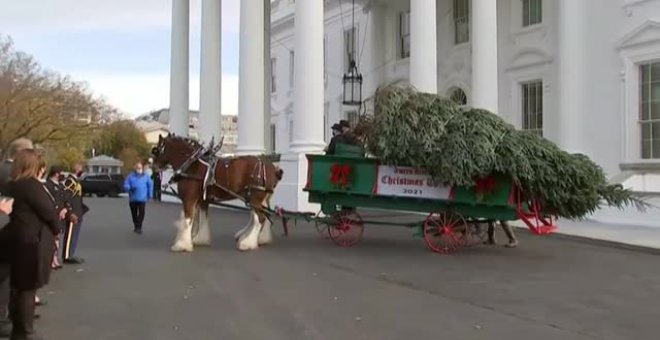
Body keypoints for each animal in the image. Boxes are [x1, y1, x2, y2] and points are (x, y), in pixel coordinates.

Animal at [151, 134, 282, 251]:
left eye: (157, 150)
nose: (153, 166)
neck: (191, 165)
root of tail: (272, 168)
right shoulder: (202, 200)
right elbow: (201, 218)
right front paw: (199, 239)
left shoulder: (189, 198)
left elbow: (188, 220)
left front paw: (182, 245)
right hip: (257, 199)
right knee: (262, 216)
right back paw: (256, 238)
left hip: (255, 198)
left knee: (260, 218)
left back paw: (247, 243)